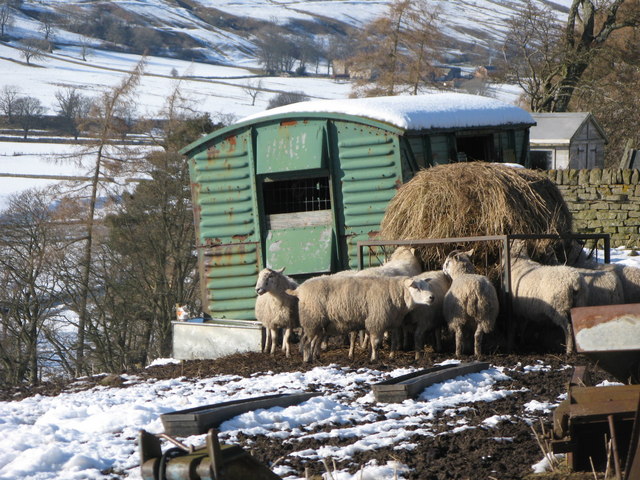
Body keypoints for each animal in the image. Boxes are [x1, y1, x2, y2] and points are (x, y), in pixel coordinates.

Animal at [288, 274, 436, 360]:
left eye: (427, 286)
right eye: (416, 288)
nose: (432, 297)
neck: (395, 293)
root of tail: (299, 290)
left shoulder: (392, 322)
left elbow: (390, 341)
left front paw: (388, 356)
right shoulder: (377, 320)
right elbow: (375, 342)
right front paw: (374, 359)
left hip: (318, 323)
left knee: (313, 341)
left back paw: (315, 357)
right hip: (312, 319)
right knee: (306, 341)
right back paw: (307, 360)